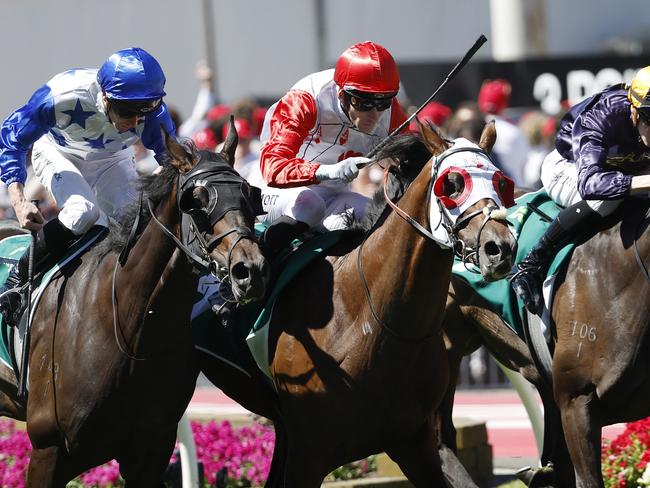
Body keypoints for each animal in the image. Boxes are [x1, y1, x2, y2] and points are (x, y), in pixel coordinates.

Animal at [0, 127, 268, 486]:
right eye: (197, 200)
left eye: (249, 194)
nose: (250, 270)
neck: (130, 329)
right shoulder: (48, 450)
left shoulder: (149, 453)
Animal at [197, 121, 516, 484]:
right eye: (452, 184)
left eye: (501, 182)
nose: (499, 247)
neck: (369, 320)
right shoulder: (309, 453)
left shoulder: (414, 443)